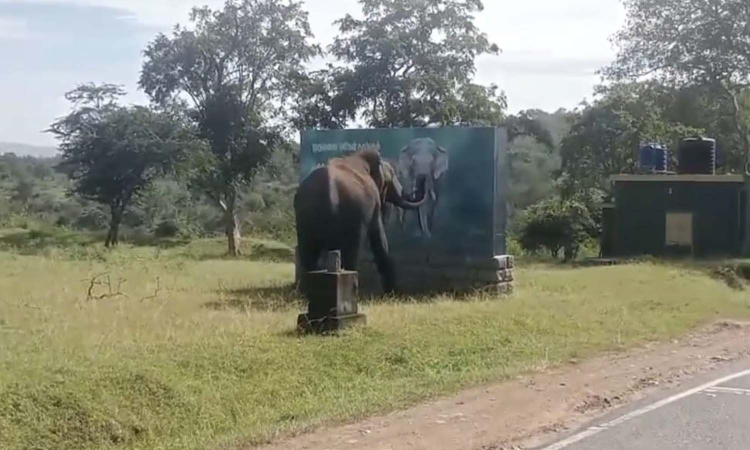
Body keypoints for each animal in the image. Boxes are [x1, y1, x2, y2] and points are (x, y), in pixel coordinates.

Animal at [294, 148, 428, 294]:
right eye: (392, 176)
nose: (423, 177)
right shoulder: (374, 203)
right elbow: (379, 237)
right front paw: (392, 292)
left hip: (304, 218)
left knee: (308, 255)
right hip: (353, 215)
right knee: (350, 252)